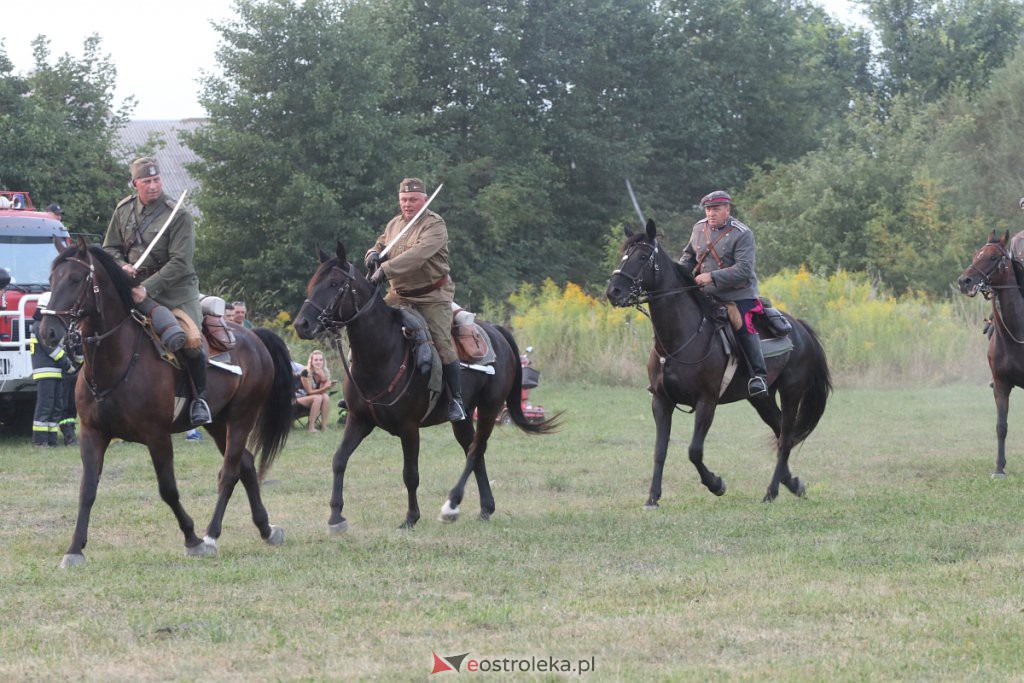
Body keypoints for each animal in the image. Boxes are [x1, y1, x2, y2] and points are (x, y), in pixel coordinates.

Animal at [39, 240, 294, 565]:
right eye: (52, 279)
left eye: (74, 279)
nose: (48, 331)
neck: (117, 358)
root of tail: (254, 337)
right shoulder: (92, 433)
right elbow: (87, 490)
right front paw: (74, 549)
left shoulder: (157, 436)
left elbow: (168, 489)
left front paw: (192, 538)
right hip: (217, 422)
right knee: (246, 464)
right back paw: (266, 529)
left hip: (241, 417)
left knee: (230, 472)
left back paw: (211, 535)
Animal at [292, 242, 561, 532]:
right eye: (312, 284)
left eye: (334, 284)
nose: (301, 324)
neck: (383, 353)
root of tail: (497, 331)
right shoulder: (358, 419)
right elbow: (339, 460)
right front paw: (335, 516)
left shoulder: (409, 428)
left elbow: (410, 473)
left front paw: (411, 517)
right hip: (464, 417)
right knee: (473, 450)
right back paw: (484, 507)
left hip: (490, 409)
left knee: (476, 450)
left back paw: (451, 505)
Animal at [606, 222, 831, 505]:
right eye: (623, 254)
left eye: (644, 256)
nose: (613, 292)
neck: (680, 339)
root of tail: (800, 328)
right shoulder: (661, 401)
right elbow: (660, 451)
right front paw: (652, 498)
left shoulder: (707, 402)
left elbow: (694, 451)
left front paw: (716, 484)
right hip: (761, 398)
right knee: (781, 432)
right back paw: (793, 484)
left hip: (791, 393)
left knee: (786, 438)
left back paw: (771, 492)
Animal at [954, 229, 1024, 475]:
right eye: (976, 255)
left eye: (993, 257)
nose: (964, 281)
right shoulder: (1001, 384)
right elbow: (1001, 426)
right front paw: (999, 468)